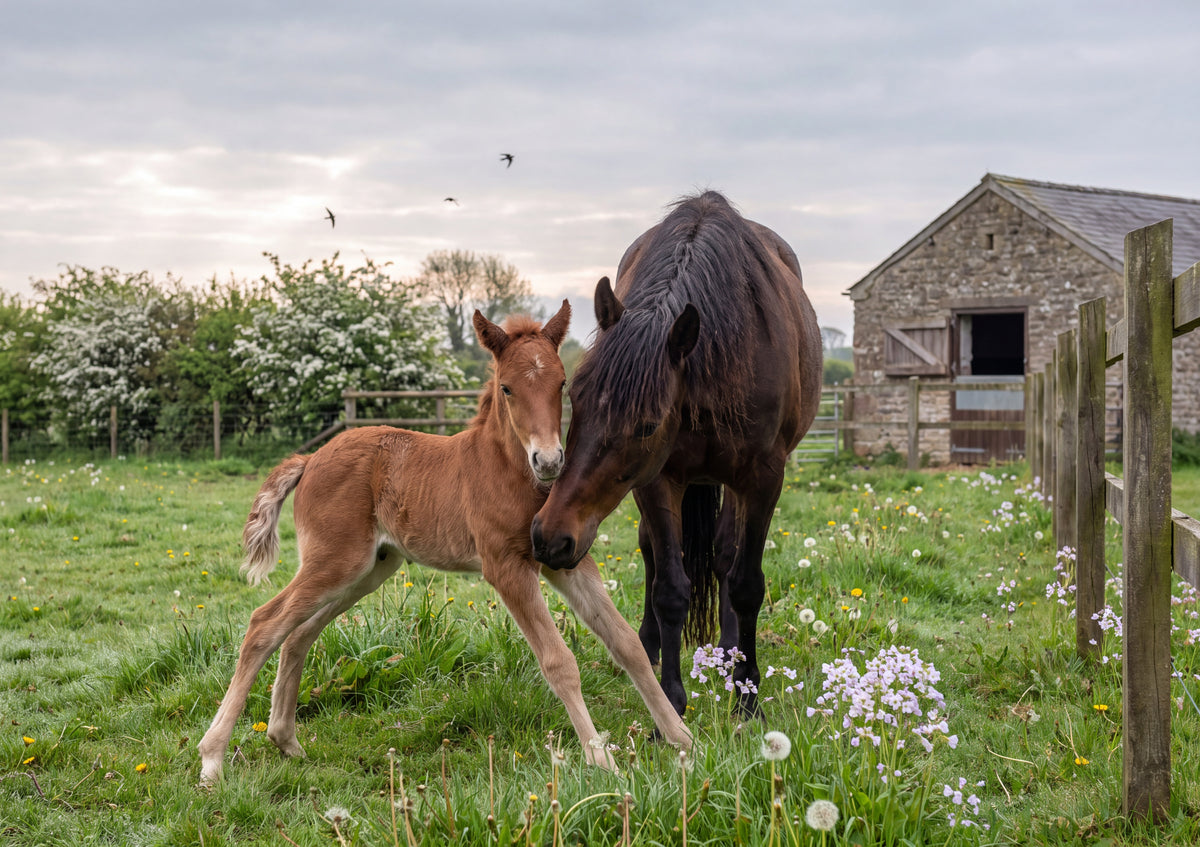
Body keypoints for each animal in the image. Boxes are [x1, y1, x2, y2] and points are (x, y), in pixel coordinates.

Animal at [198, 302, 691, 786]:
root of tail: (311, 457)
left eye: (562, 383)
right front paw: (601, 759)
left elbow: (627, 644)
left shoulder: (563, 559)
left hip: (369, 569)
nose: (550, 461)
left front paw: (683, 740)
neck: (506, 469)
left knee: (298, 632)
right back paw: (212, 758)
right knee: (264, 624)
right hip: (336, 561)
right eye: (507, 388)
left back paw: (285, 739)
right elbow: (559, 662)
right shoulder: (506, 567)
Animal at [531, 192, 822, 717]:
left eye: (647, 424)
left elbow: (746, 583)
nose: (549, 538)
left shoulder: (763, 477)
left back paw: (729, 655)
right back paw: (647, 648)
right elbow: (669, 587)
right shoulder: (658, 478)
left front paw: (747, 695)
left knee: (726, 557)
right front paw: (668, 704)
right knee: (653, 553)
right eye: (574, 399)